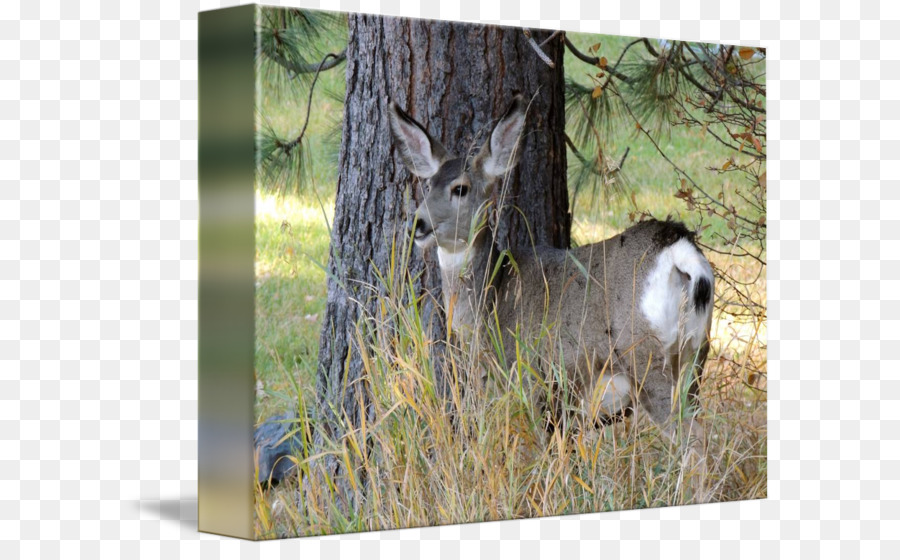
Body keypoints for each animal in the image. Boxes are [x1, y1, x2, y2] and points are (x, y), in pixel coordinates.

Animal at [386, 95, 716, 498]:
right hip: (696, 355)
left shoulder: (534, 378)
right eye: (426, 184)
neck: (493, 297)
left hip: (646, 358)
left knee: (694, 439)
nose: (418, 224)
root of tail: (679, 248)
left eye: (460, 188)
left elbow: (543, 453)